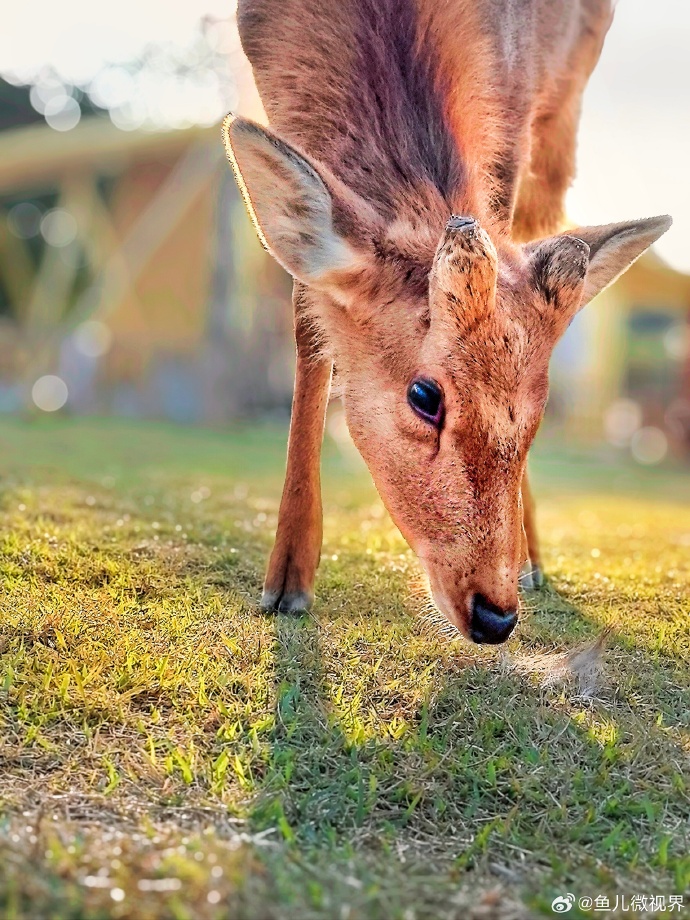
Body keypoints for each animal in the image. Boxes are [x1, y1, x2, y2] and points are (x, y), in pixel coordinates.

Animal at [221, 0, 671, 644]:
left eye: (542, 407)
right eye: (424, 396)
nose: (496, 614)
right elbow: (309, 320)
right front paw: (286, 581)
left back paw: (534, 561)